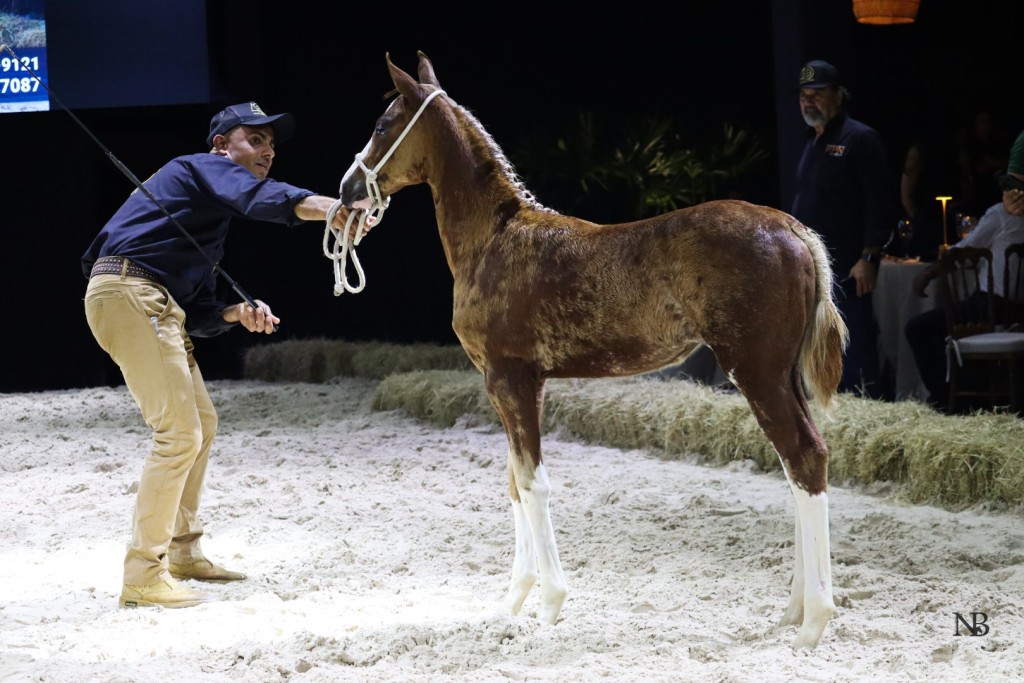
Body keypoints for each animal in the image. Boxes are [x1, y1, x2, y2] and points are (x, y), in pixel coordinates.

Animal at [339, 52, 848, 650]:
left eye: (381, 125)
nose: (347, 188)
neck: (496, 240)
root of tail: (794, 229)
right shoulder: (513, 385)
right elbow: (514, 480)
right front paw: (511, 603)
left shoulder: (510, 379)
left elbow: (532, 481)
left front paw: (549, 604)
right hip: (783, 374)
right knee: (798, 467)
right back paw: (792, 610)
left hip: (757, 371)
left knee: (805, 458)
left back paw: (812, 623)